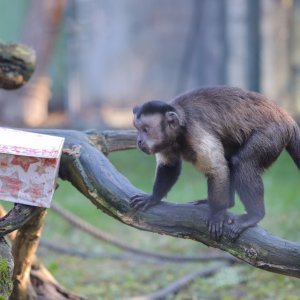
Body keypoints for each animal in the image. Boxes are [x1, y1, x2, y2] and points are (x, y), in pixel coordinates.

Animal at [130, 86, 300, 241]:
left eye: (146, 129)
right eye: (138, 129)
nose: (139, 141)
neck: (180, 132)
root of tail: (287, 118)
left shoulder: (196, 133)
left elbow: (217, 170)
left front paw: (217, 214)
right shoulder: (167, 142)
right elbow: (170, 166)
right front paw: (153, 198)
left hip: (273, 133)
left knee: (241, 163)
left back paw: (254, 215)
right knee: (231, 162)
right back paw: (228, 203)